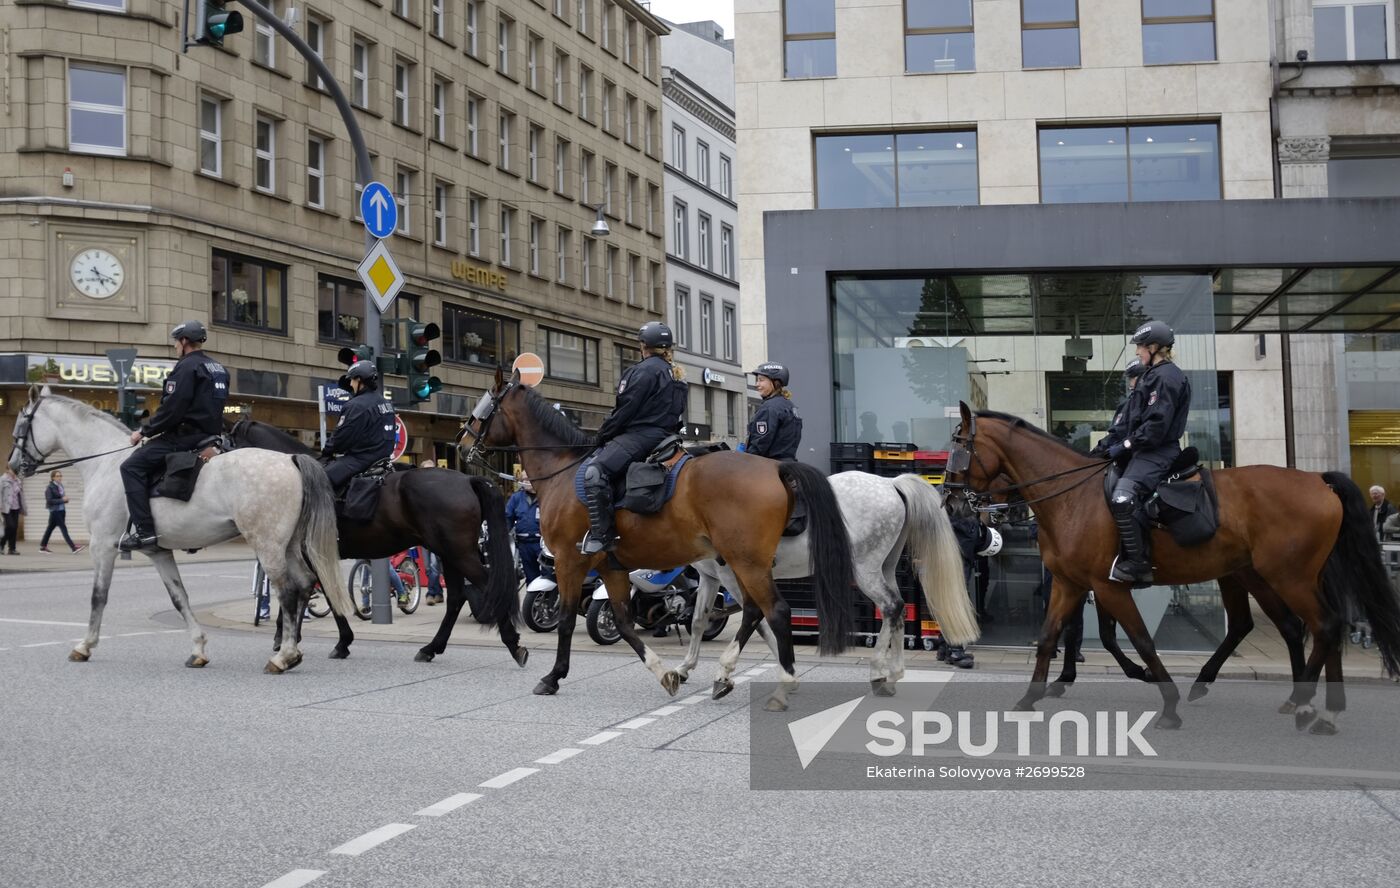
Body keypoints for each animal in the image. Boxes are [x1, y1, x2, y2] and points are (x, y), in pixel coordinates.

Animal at [9, 386, 355, 669]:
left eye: (20, 425)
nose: (13, 466)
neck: (105, 463)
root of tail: (290, 459)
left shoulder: (103, 547)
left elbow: (99, 597)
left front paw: (85, 645)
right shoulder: (158, 552)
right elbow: (179, 598)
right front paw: (198, 649)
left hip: (267, 545)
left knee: (287, 590)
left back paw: (283, 656)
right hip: (290, 545)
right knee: (306, 583)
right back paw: (296, 650)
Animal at [229, 417, 526, 663]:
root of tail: (467, 479)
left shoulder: (312, 555)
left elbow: (317, 594)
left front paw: (305, 639)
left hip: (458, 553)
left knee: (490, 588)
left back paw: (513, 644)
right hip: (450, 554)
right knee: (456, 597)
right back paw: (431, 648)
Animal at [464, 364, 856, 705]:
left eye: (483, 406)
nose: (462, 442)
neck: (562, 471)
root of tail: (775, 468)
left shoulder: (567, 560)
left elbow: (564, 619)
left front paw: (553, 676)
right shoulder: (611, 567)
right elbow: (623, 621)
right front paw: (666, 673)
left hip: (746, 562)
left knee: (774, 610)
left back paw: (781, 680)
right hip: (742, 563)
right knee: (753, 612)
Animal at [677, 470, 974, 691]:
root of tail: (891, 483)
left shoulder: (734, 576)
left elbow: (757, 619)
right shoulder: (709, 577)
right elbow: (699, 621)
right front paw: (683, 668)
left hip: (865, 570)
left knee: (891, 606)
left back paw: (878, 670)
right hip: (885, 567)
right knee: (898, 609)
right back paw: (894, 672)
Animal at [940, 403, 1400, 733]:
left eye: (960, 443)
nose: (950, 501)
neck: (1072, 496)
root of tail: (1317, 480)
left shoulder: (1108, 587)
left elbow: (1139, 640)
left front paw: (1166, 702)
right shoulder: (1069, 585)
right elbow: (1050, 636)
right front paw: (1030, 697)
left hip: (1288, 577)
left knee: (1323, 625)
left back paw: (1308, 705)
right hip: (1261, 574)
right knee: (1297, 626)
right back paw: (1314, 708)